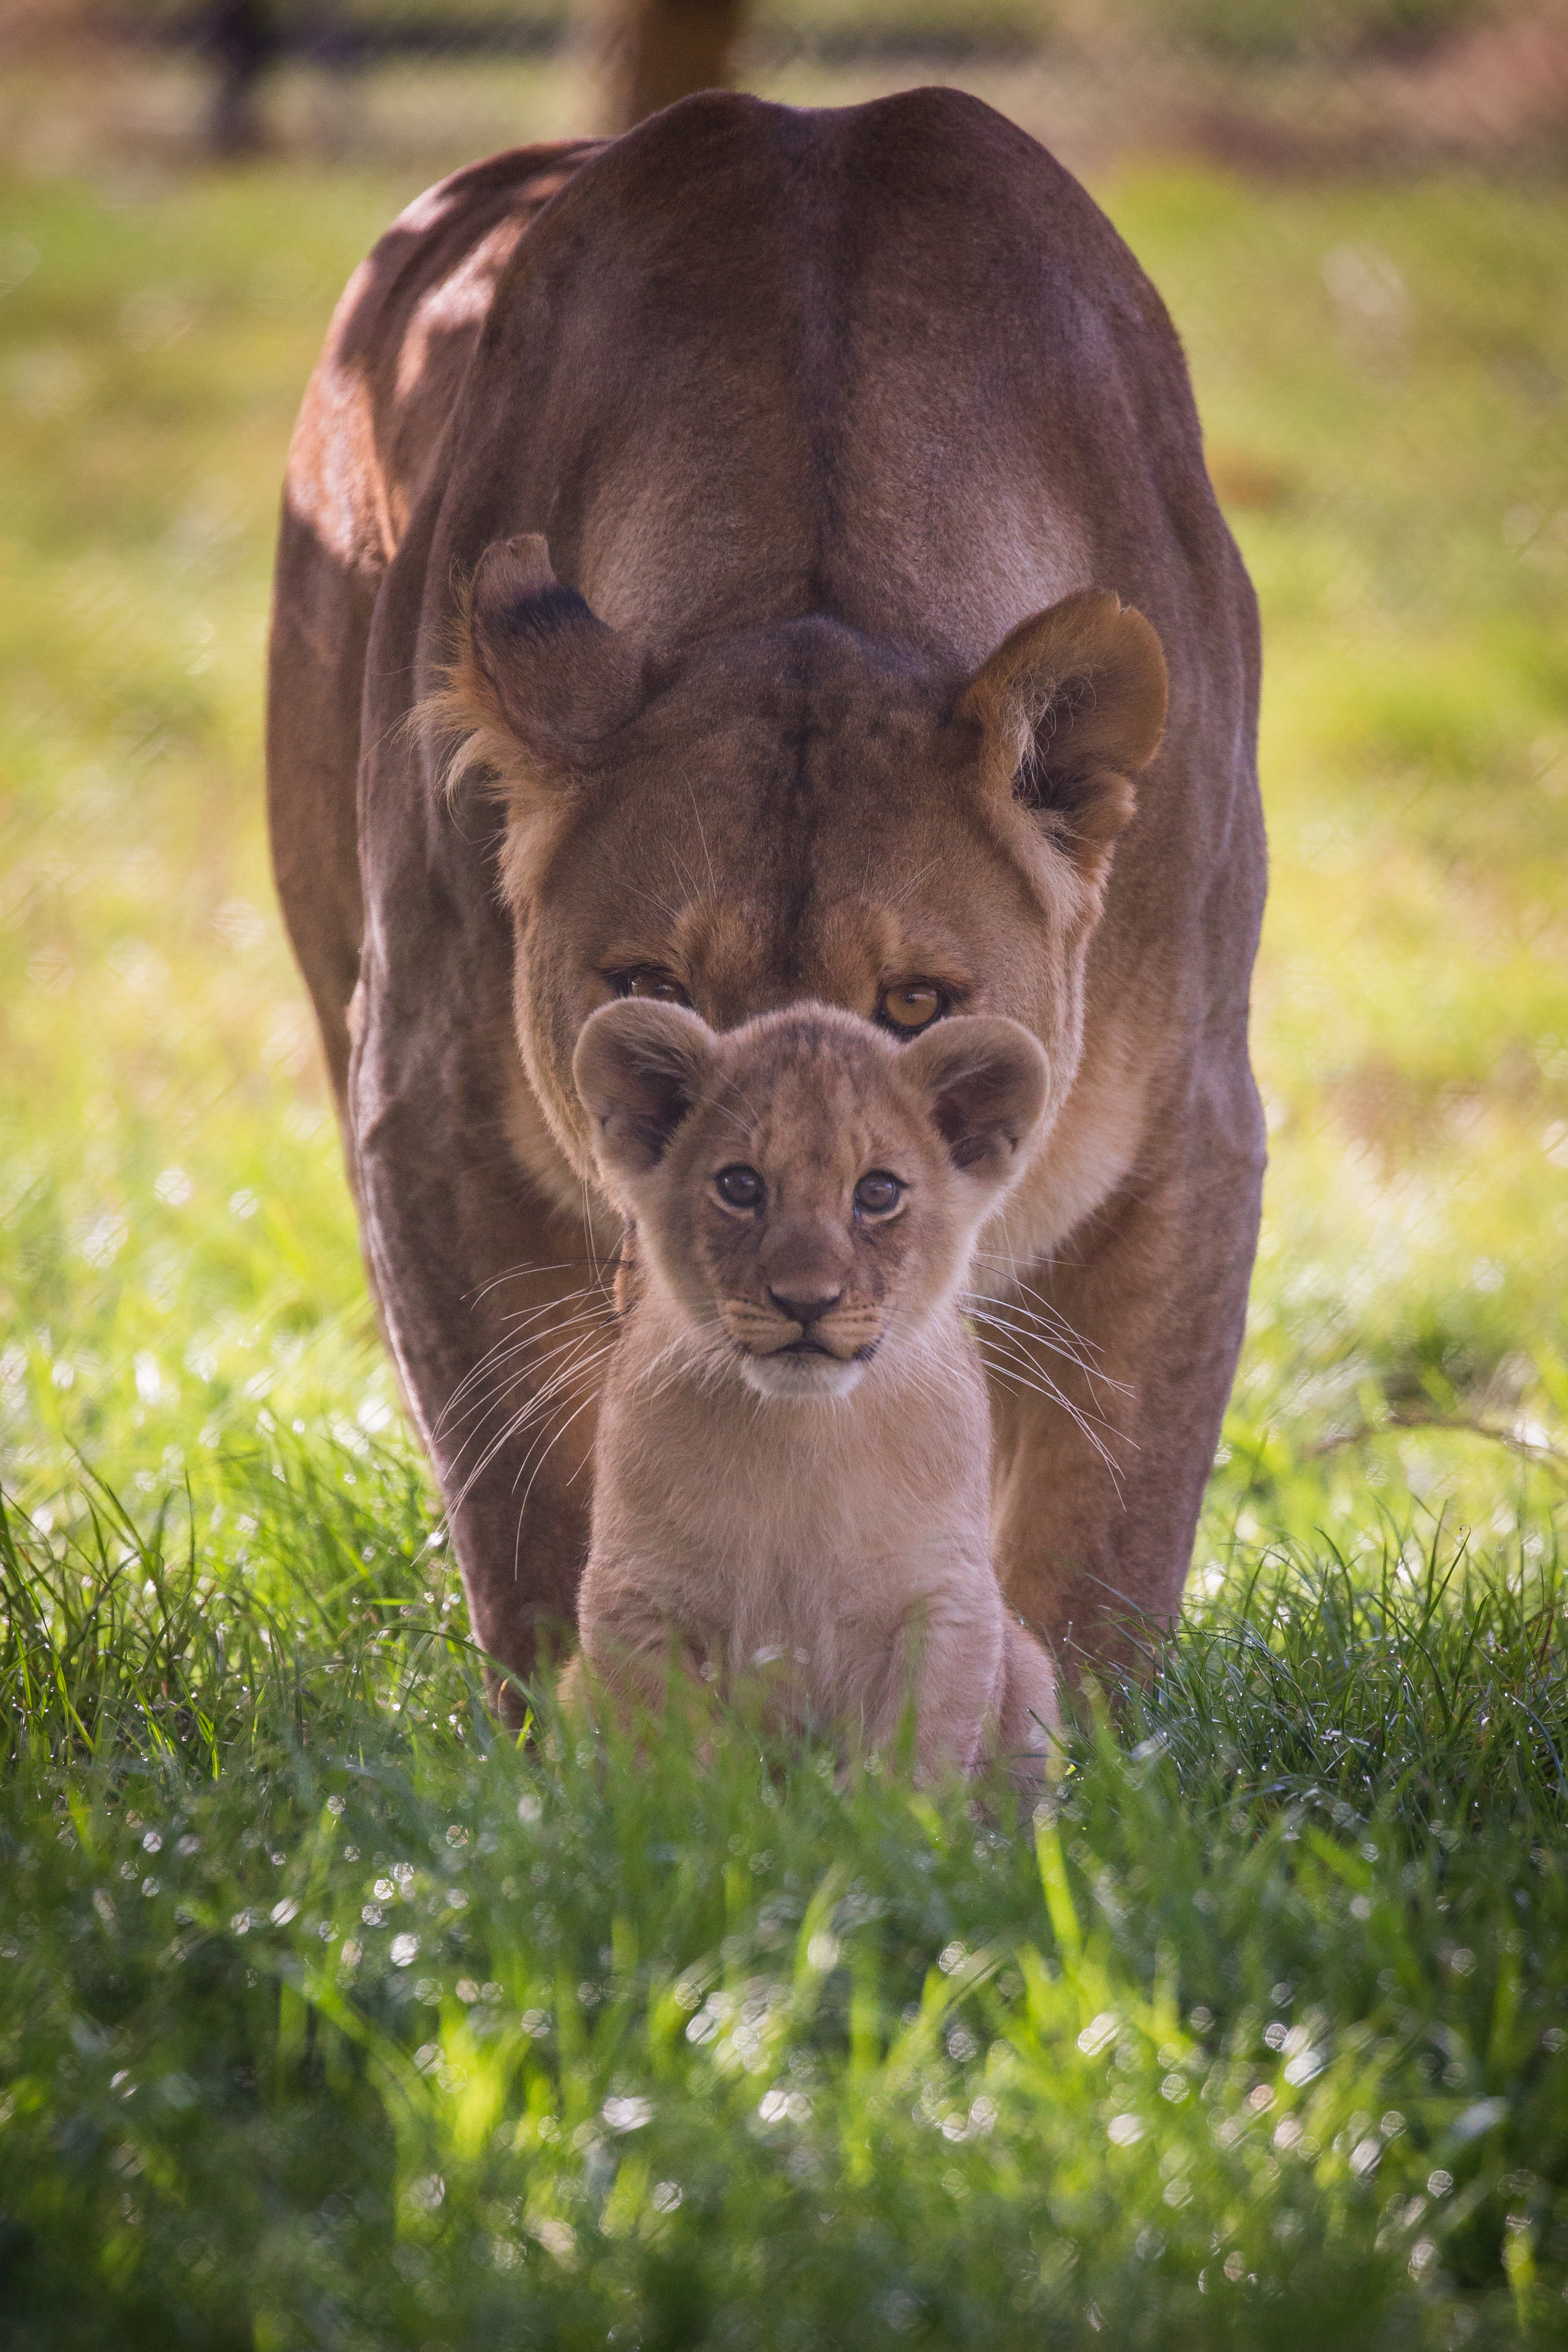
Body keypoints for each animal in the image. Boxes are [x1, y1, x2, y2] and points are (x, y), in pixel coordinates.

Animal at [559, 998, 1059, 1782]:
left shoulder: (947, 1597)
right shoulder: (634, 1594)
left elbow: (916, 1758)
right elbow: (673, 1755)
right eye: (740, 1186)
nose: (806, 1301)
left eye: (877, 1192)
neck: (802, 1433)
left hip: (1033, 1674)